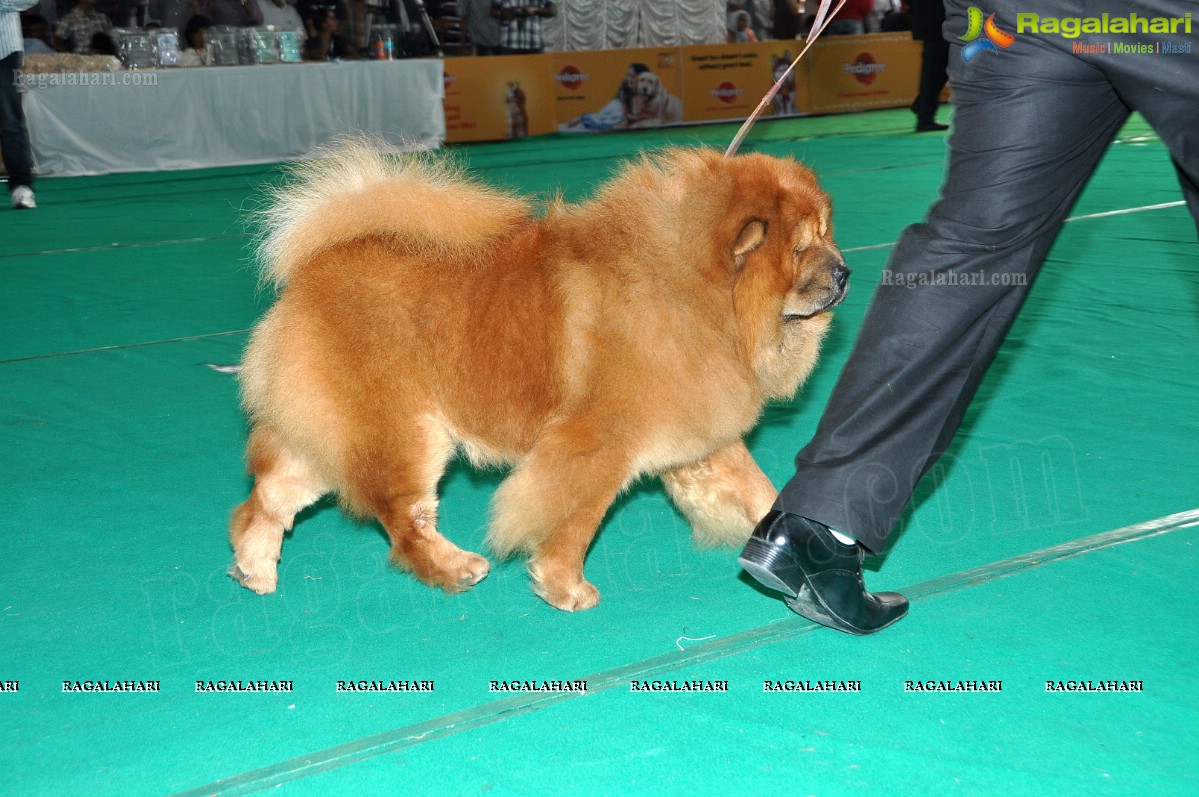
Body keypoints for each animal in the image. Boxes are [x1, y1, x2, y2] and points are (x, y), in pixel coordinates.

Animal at [229, 139, 848, 606]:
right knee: (403, 519)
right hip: (402, 431)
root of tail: (318, 267)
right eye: (800, 248)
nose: (844, 271)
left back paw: (255, 568)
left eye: (826, 233)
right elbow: (577, 518)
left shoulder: (700, 435)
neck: (694, 291)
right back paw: (454, 568)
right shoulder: (600, 443)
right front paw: (564, 587)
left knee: (265, 500)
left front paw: (788, 542)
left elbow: (757, 489)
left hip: (325, 432)